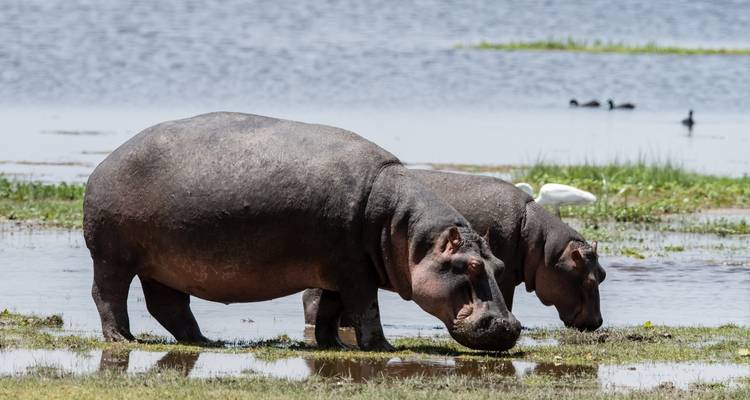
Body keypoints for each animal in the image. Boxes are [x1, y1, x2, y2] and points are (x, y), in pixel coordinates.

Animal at [83, 112, 521, 351]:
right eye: (469, 267)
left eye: (499, 266)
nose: (509, 327)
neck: (407, 233)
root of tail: (106, 163)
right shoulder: (355, 271)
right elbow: (366, 307)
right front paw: (381, 345)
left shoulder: (337, 271)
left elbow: (330, 308)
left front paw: (330, 344)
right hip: (113, 257)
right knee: (108, 295)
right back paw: (122, 339)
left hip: (162, 266)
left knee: (169, 305)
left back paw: (203, 341)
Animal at [304, 169, 606, 332]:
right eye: (590, 281)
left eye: (602, 274)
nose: (597, 323)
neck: (544, 247)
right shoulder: (504, 278)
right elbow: (504, 302)